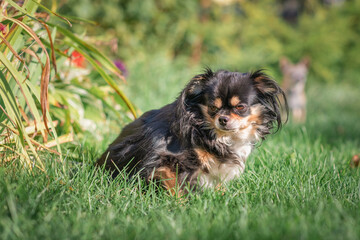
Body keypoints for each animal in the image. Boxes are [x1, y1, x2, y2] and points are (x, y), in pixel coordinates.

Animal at [95, 69, 286, 193]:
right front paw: (179, 205)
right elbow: (176, 188)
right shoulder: (167, 162)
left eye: (240, 107)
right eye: (213, 107)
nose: (223, 119)